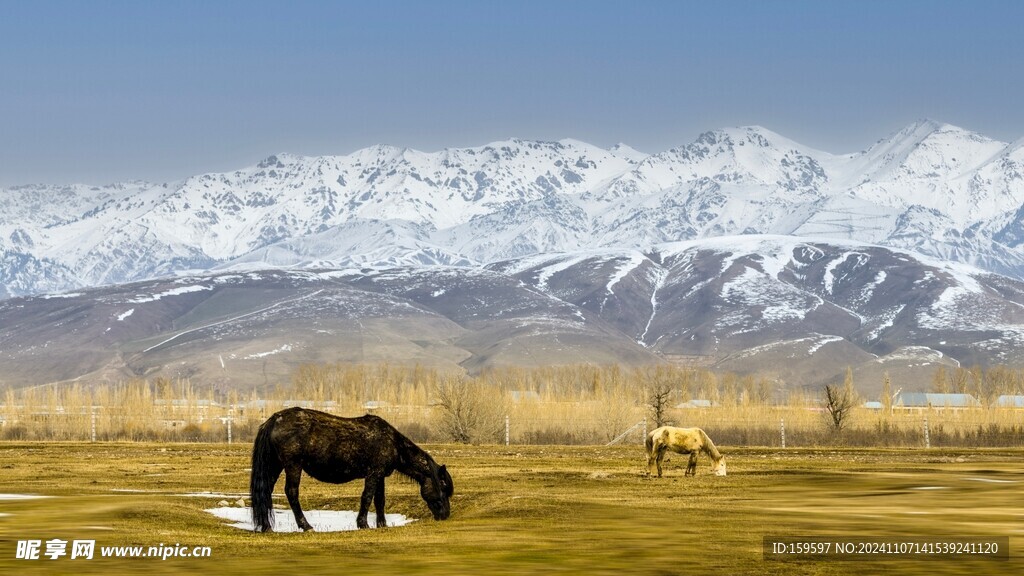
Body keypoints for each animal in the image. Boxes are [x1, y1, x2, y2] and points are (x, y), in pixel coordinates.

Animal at [249, 405, 454, 532]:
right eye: (443, 487)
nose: (445, 515)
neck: (392, 443)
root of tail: (274, 420)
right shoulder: (373, 474)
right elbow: (367, 497)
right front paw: (363, 524)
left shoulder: (380, 476)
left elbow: (380, 501)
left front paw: (382, 524)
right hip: (293, 466)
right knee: (291, 492)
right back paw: (306, 526)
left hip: (275, 465)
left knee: (265, 491)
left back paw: (266, 526)